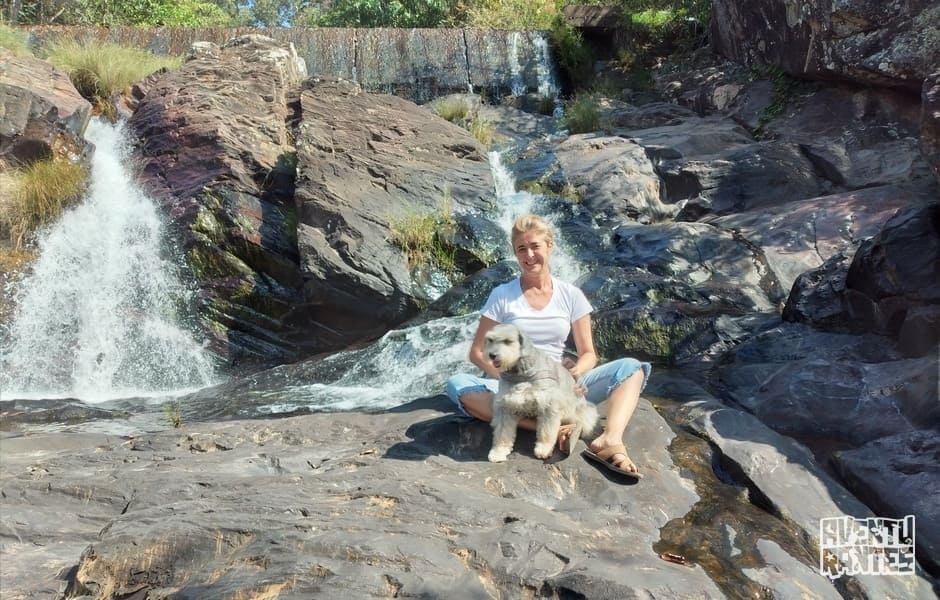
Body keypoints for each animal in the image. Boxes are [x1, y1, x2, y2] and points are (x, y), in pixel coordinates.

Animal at [482, 322, 600, 462]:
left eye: (507, 341)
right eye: (490, 340)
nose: (492, 355)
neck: (522, 373)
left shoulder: (548, 405)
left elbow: (546, 431)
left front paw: (544, 449)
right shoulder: (505, 407)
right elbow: (502, 433)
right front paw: (498, 452)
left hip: (579, 411)